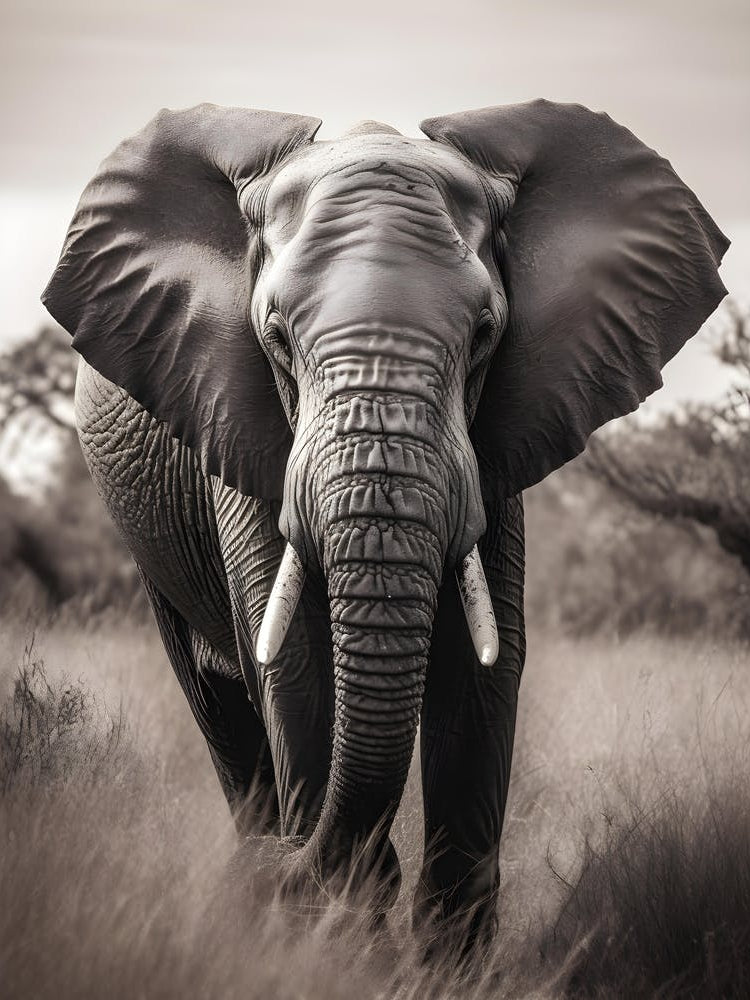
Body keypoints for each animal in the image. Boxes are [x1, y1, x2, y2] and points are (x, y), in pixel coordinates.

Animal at [42, 100, 727, 956]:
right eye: (275, 336)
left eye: (485, 334)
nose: (282, 864)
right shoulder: (234, 416)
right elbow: (296, 655)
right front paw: (337, 946)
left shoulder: (496, 442)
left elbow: (485, 667)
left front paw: (446, 964)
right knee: (217, 711)